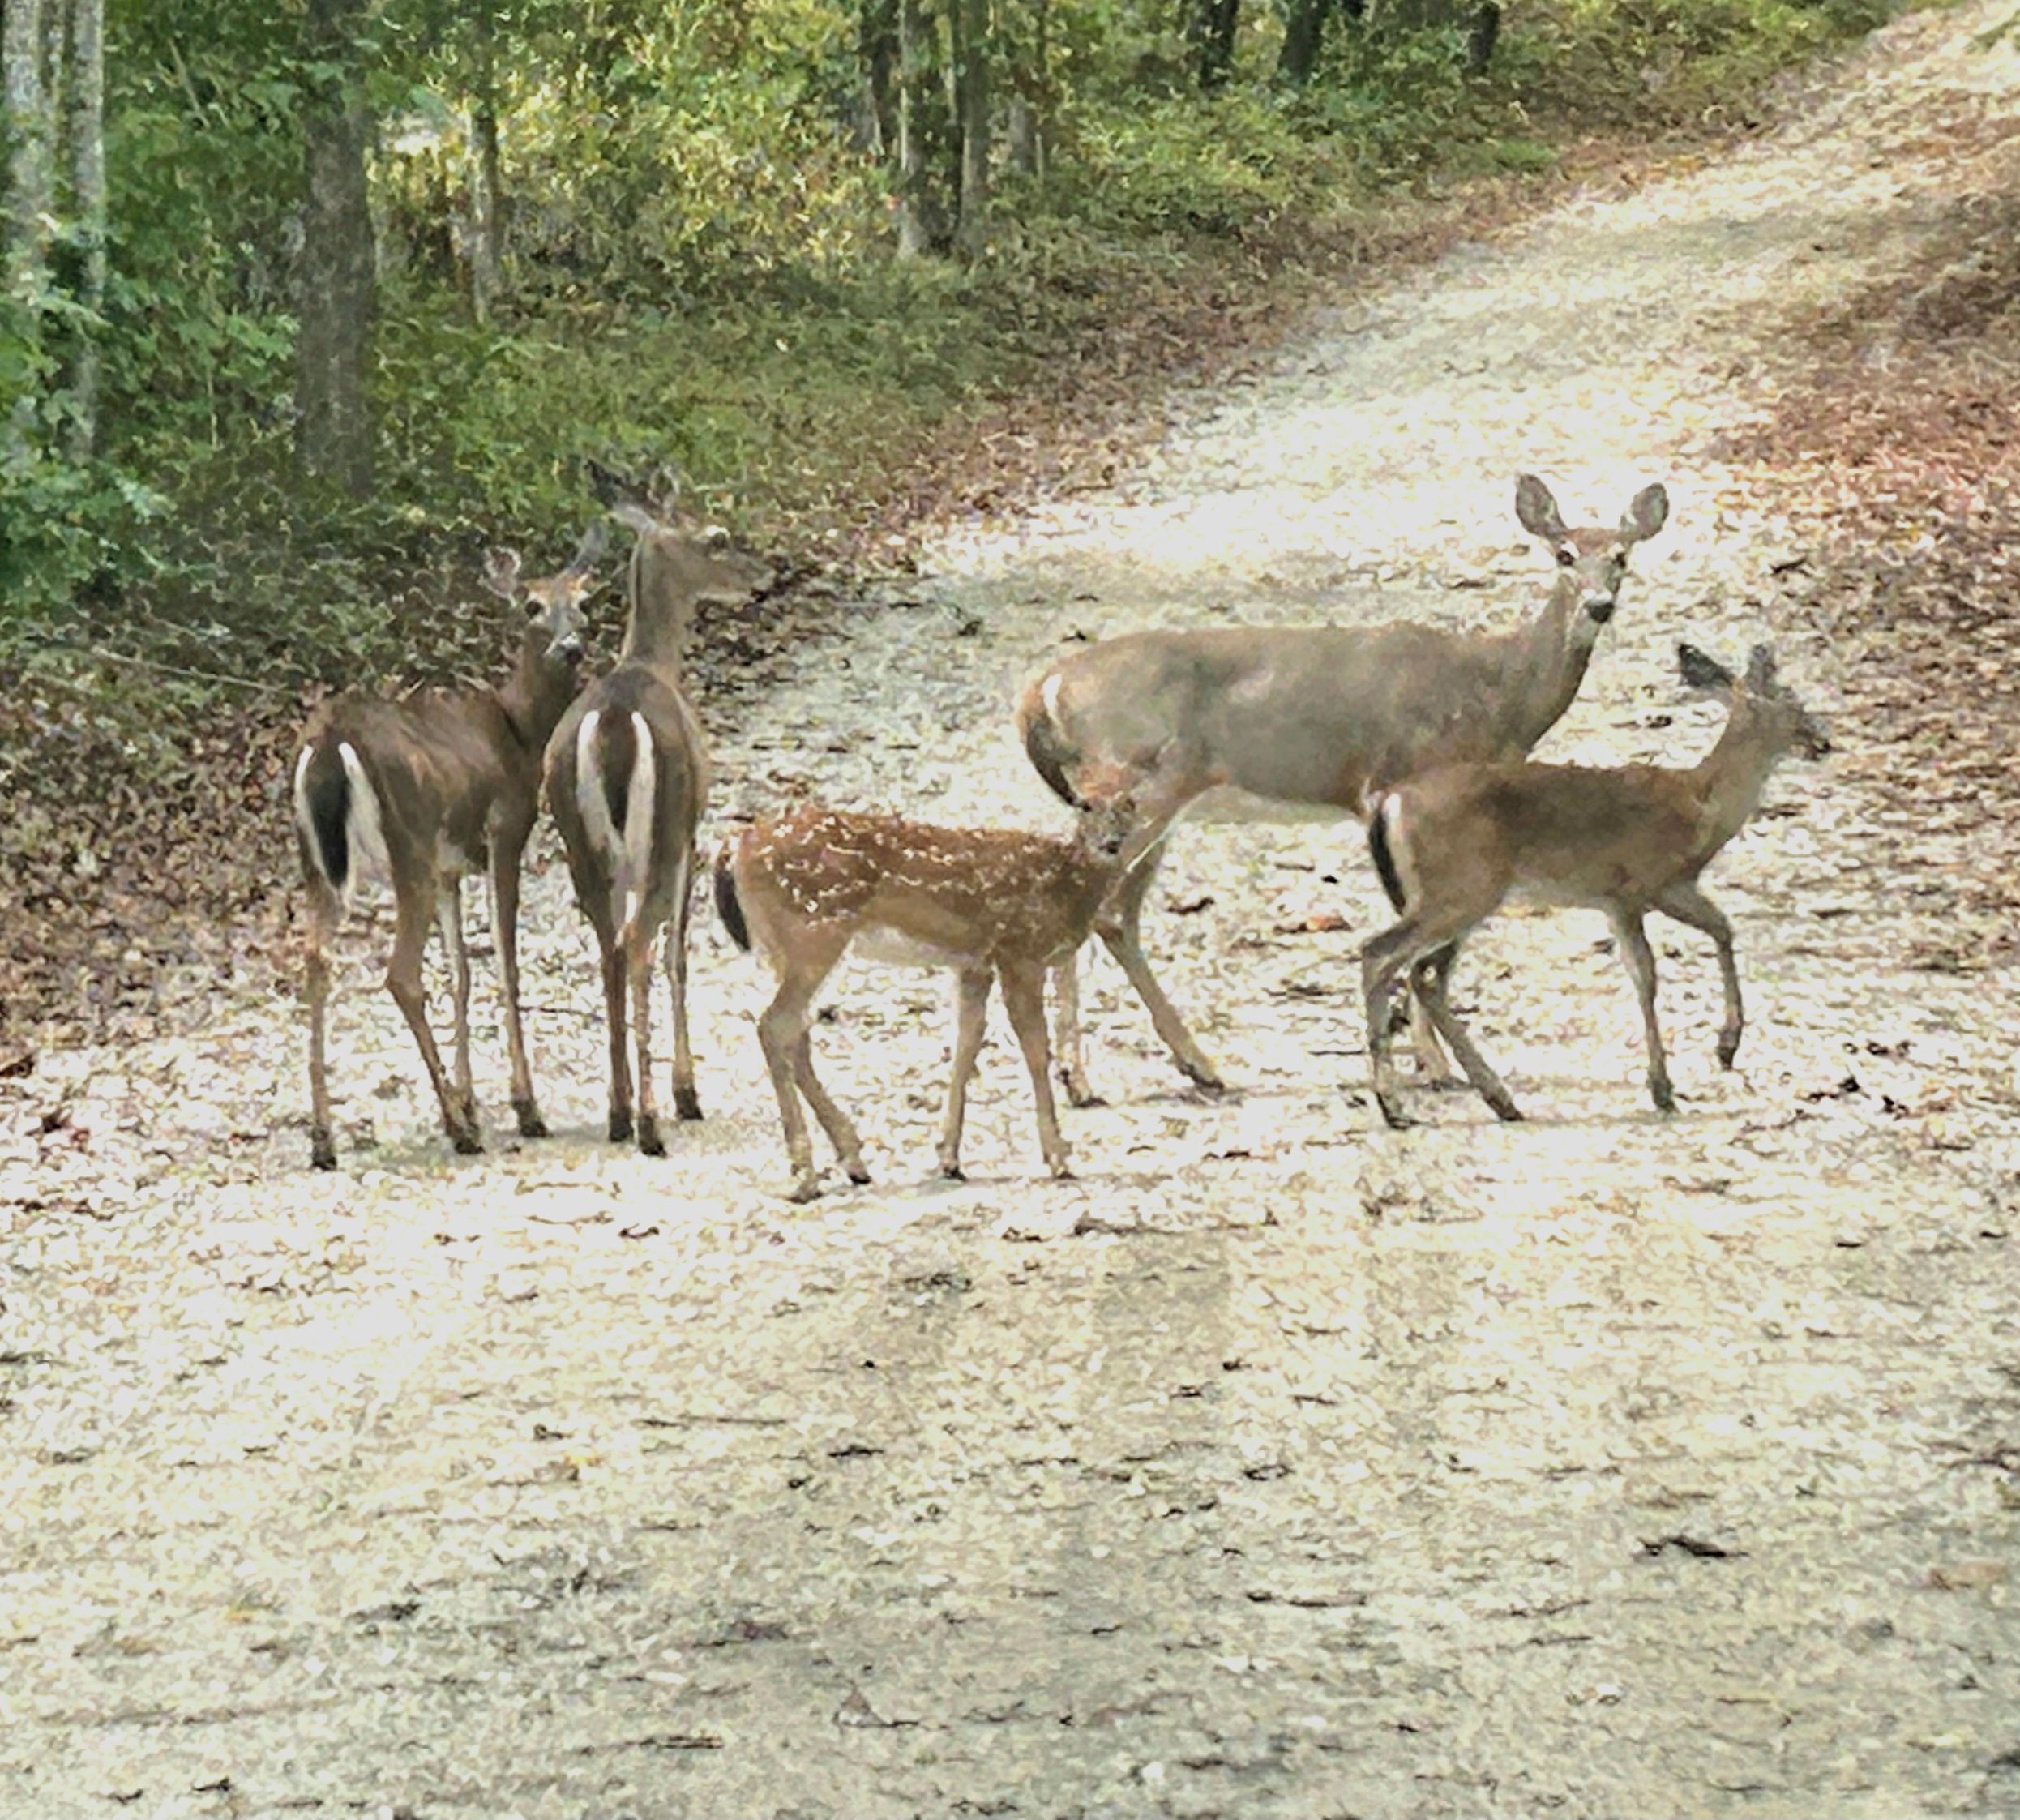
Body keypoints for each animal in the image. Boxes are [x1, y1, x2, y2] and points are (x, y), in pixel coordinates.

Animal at [293, 525, 605, 1169]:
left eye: (584, 602)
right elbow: (505, 964)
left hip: (320, 860)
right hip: (406, 839)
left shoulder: (450, 866)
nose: (570, 647)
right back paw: (456, 1129)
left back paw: (324, 1139)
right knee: (400, 974)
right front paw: (521, 1106)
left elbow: (461, 968)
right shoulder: (505, 831)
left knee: (316, 958)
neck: (519, 729)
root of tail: (331, 744)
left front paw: (471, 1097)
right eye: (531, 605)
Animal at [543, 461, 774, 1156]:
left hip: (579, 839)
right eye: (717, 536)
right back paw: (649, 1118)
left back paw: (619, 1109)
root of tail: (615, 724)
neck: (654, 662)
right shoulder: (691, 834)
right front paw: (687, 1092)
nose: (762, 574)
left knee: (609, 948)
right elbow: (679, 955)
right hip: (663, 827)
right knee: (640, 943)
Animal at [713, 793, 1145, 1203]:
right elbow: (1037, 1050)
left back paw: (853, 1161)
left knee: (796, 1032)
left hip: (783, 947)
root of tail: (737, 846)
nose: (1113, 842)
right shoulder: (1020, 952)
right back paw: (805, 1175)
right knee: (774, 1024)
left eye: (1130, 805)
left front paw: (949, 1158)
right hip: (815, 932)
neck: (1063, 884)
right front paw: (1058, 1157)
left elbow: (967, 1042)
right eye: (1085, 806)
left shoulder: (974, 963)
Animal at [1015, 473, 1671, 1106]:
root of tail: (1043, 689)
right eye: (1564, 554)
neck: (1498, 696)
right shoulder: (1395, 782)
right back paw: (1086, 1078)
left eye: (1621, 556)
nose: (1599, 605)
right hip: (1136, 782)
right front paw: (1433, 1064)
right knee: (1100, 904)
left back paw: (1190, 1067)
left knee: (1117, 911)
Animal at [1360, 641, 1831, 1129]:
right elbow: (1649, 974)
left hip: (1457, 897)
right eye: (1794, 703)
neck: (1701, 806)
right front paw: (1668, 1085)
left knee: (1423, 975)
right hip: (1458, 892)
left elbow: (1718, 930)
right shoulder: (1638, 887)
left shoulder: (1651, 892)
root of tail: (1388, 803)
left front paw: (1723, 1048)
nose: (1822, 742)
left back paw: (1497, 1099)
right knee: (1381, 955)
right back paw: (1395, 1104)